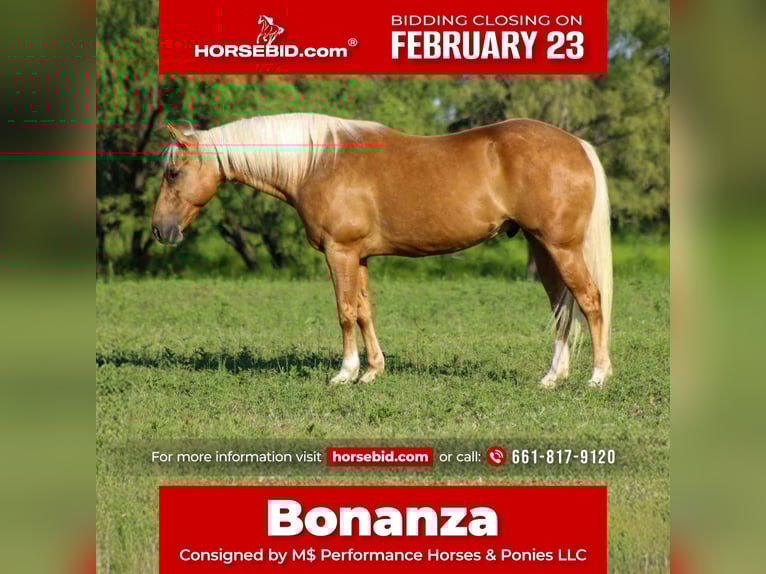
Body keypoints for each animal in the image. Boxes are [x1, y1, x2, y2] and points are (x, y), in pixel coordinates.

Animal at [152, 113, 613, 388]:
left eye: (173, 173)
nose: (160, 229)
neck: (318, 162)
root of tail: (578, 145)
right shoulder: (359, 256)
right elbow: (364, 311)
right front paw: (372, 371)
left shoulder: (339, 252)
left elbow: (344, 312)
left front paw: (345, 373)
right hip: (544, 248)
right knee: (562, 307)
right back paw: (552, 377)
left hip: (561, 248)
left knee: (590, 301)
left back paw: (596, 376)